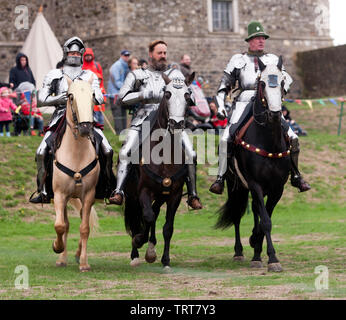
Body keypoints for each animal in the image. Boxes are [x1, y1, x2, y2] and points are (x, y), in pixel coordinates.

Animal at [124, 70, 196, 270]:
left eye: (187, 96)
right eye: (168, 94)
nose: (176, 123)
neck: (164, 153)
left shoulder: (174, 195)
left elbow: (167, 227)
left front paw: (165, 260)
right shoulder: (143, 190)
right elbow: (147, 217)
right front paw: (139, 240)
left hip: (161, 194)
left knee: (155, 213)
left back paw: (150, 249)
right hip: (133, 195)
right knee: (140, 217)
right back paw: (136, 253)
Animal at [216, 57, 292, 272]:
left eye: (282, 82)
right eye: (263, 83)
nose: (274, 114)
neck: (268, 140)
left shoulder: (276, 188)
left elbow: (265, 218)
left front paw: (258, 245)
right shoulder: (255, 184)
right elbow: (265, 221)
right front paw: (272, 258)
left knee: (256, 210)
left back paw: (256, 252)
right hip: (235, 185)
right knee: (237, 214)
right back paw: (239, 252)